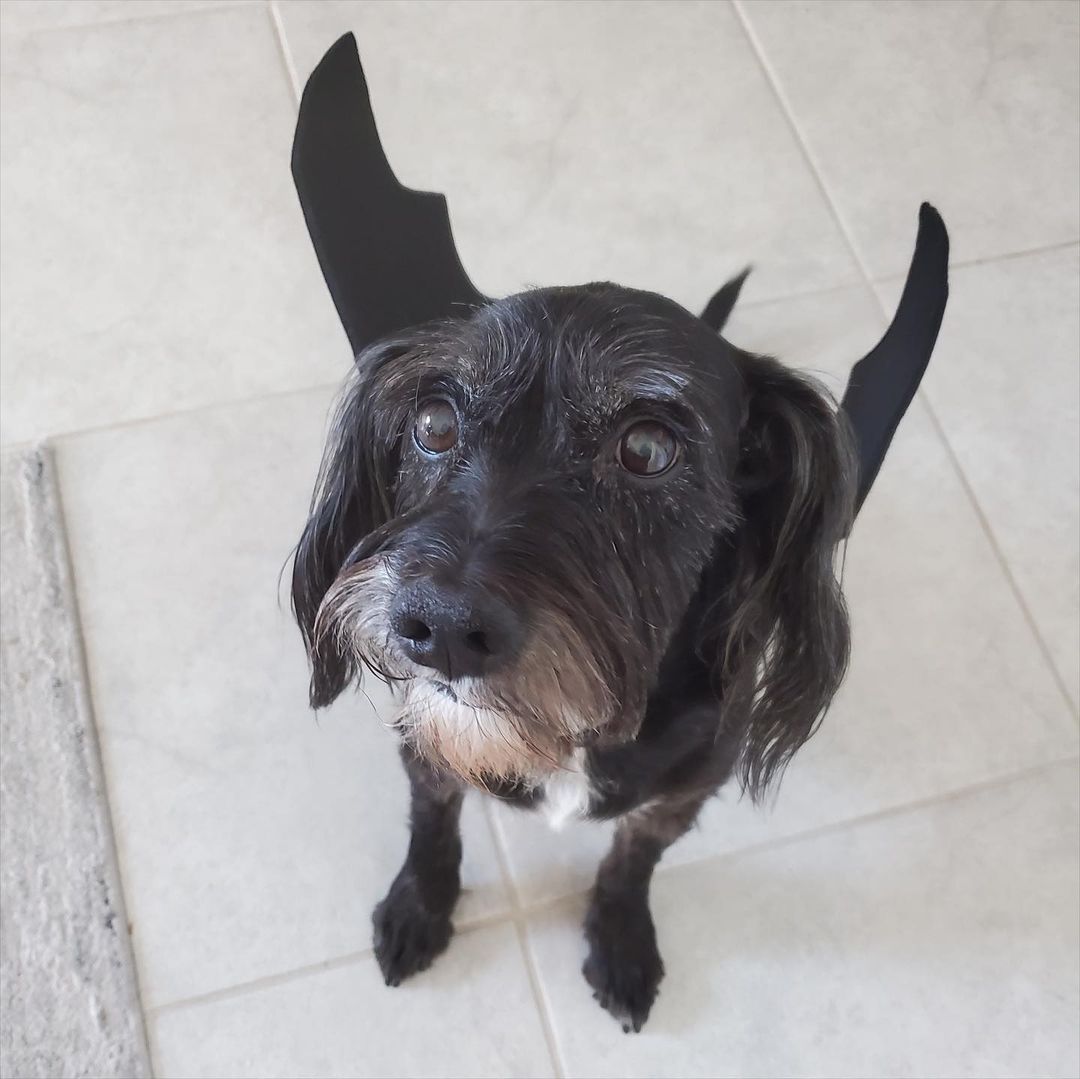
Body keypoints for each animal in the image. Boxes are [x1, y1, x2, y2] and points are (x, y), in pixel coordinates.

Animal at [289, 274, 859, 1032]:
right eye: (434, 423)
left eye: (646, 447)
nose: (440, 626)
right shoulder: (425, 747)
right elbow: (431, 824)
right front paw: (420, 903)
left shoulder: (683, 792)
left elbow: (632, 859)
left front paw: (621, 936)